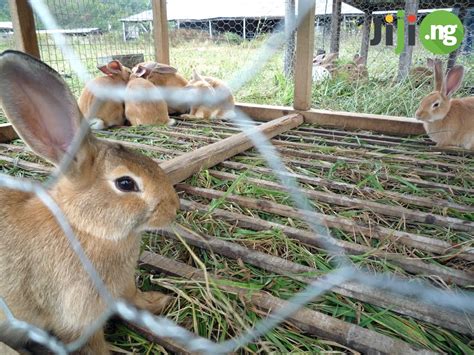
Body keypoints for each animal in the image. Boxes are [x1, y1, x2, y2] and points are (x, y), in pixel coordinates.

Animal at [0, 49, 180, 354]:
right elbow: (94, 346)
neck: (85, 227)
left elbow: (135, 298)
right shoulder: (79, 321)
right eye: (125, 183)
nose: (174, 208)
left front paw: (159, 301)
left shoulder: (123, 287)